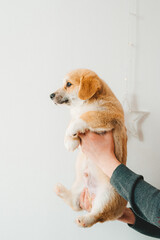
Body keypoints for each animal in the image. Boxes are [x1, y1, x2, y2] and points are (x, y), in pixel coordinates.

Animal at [50, 69, 127, 227]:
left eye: (68, 84)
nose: (51, 95)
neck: (84, 105)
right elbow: (73, 121)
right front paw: (70, 141)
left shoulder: (107, 114)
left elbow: (85, 117)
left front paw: (71, 133)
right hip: (79, 188)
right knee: (75, 204)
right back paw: (60, 190)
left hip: (108, 196)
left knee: (98, 216)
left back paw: (84, 220)